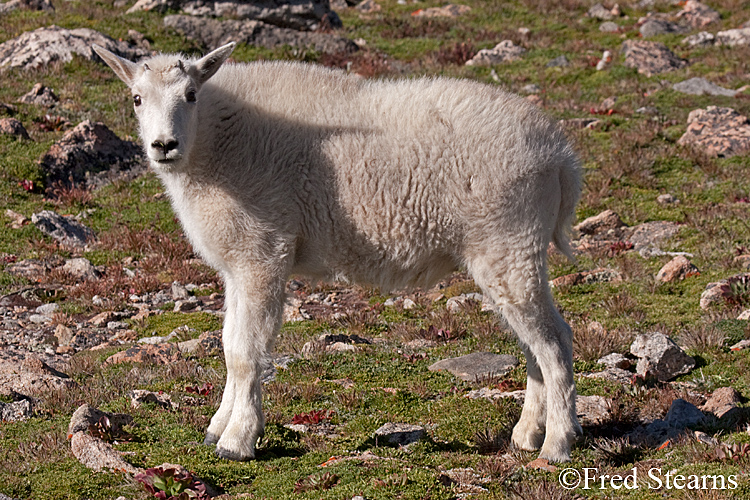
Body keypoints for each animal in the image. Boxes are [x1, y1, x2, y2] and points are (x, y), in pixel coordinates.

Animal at [93, 42, 583, 462]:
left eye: (191, 94)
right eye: (137, 99)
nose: (163, 145)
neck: (216, 142)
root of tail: (561, 156)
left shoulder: (263, 252)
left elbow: (246, 352)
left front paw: (237, 440)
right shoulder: (237, 265)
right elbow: (230, 344)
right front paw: (218, 427)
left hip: (509, 243)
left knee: (554, 342)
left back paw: (557, 443)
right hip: (508, 253)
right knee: (536, 342)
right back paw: (527, 433)